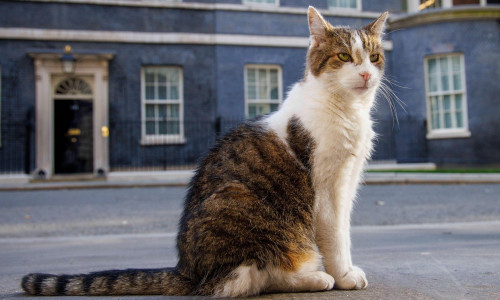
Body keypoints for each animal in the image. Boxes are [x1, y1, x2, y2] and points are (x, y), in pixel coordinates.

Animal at [22, 7, 390, 298]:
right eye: (344, 57)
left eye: (374, 57)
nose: (366, 74)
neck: (348, 110)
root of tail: (187, 270)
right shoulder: (328, 187)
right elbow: (335, 235)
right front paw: (344, 275)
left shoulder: (349, 180)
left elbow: (343, 232)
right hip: (247, 210)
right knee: (248, 278)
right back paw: (317, 278)